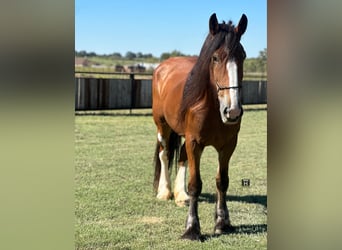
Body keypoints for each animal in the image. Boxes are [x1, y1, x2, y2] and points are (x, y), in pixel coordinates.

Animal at [154, 12, 247, 239]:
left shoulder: (228, 146)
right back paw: (165, 191)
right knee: (164, 154)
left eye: (243, 56)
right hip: (162, 125)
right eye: (215, 58)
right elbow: (196, 184)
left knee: (181, 158)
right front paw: (192, 229)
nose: (232, 111)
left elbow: (222, 181)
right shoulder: (195, 142)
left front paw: (222, 222)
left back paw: (181, 195)